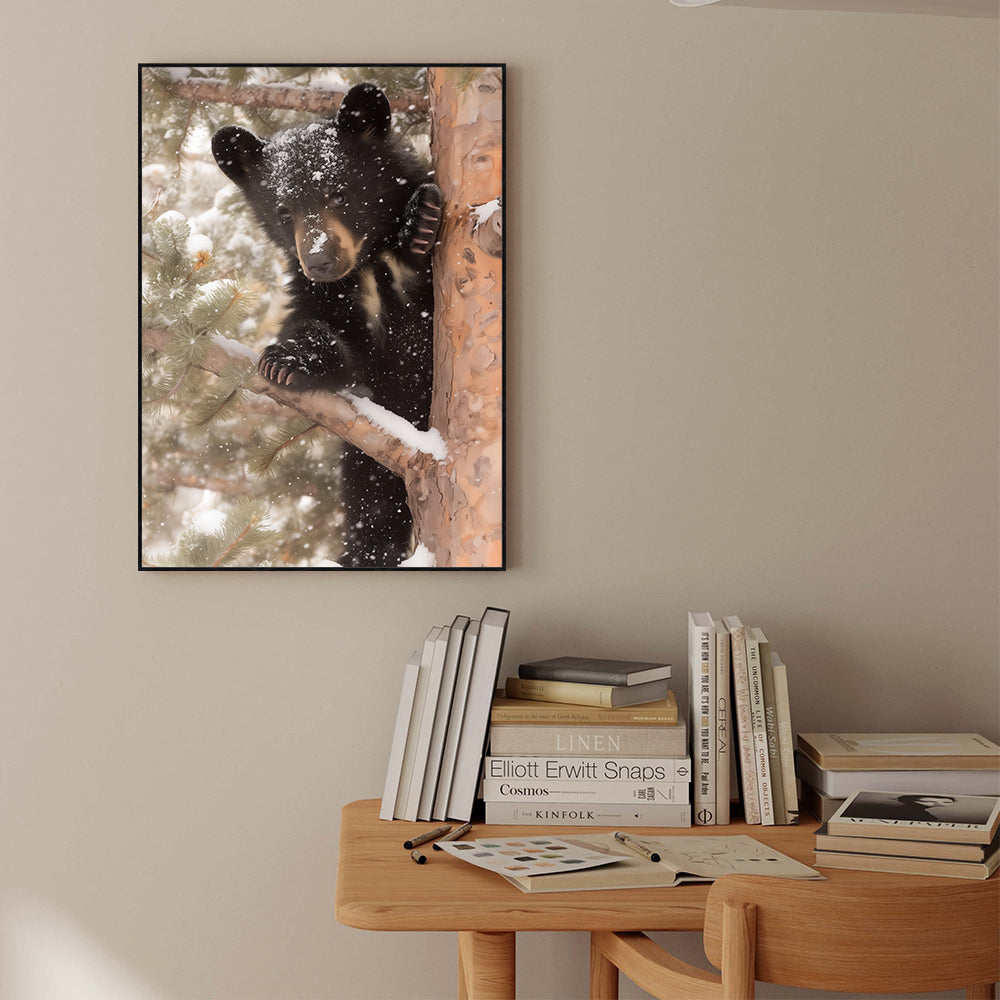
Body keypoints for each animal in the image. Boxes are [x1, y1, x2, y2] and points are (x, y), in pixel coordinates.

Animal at [211, 83, 442, 568]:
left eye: (338, 194)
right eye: (283, 211)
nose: (319, 260)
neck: (368, 266)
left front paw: (420, 221)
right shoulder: (326, 297)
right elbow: (331, 337)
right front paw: (287, 361)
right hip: (367, 457)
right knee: (370, 506)